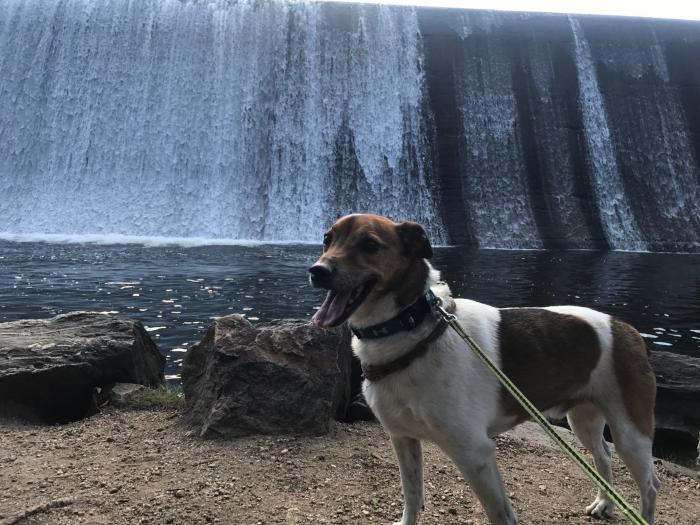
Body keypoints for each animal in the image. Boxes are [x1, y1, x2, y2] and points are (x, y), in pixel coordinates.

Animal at [309, 213, 659, 525]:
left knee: (650, 484)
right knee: (603, 456)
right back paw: (604, 504)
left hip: (630, 431)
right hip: (584, 419)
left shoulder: (474, 453)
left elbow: (500, 514)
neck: (414, 329)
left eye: (369, 244)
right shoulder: (403, 438)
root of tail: (628, 329)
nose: (317, 271)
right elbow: (412, 495)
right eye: (327, 239)